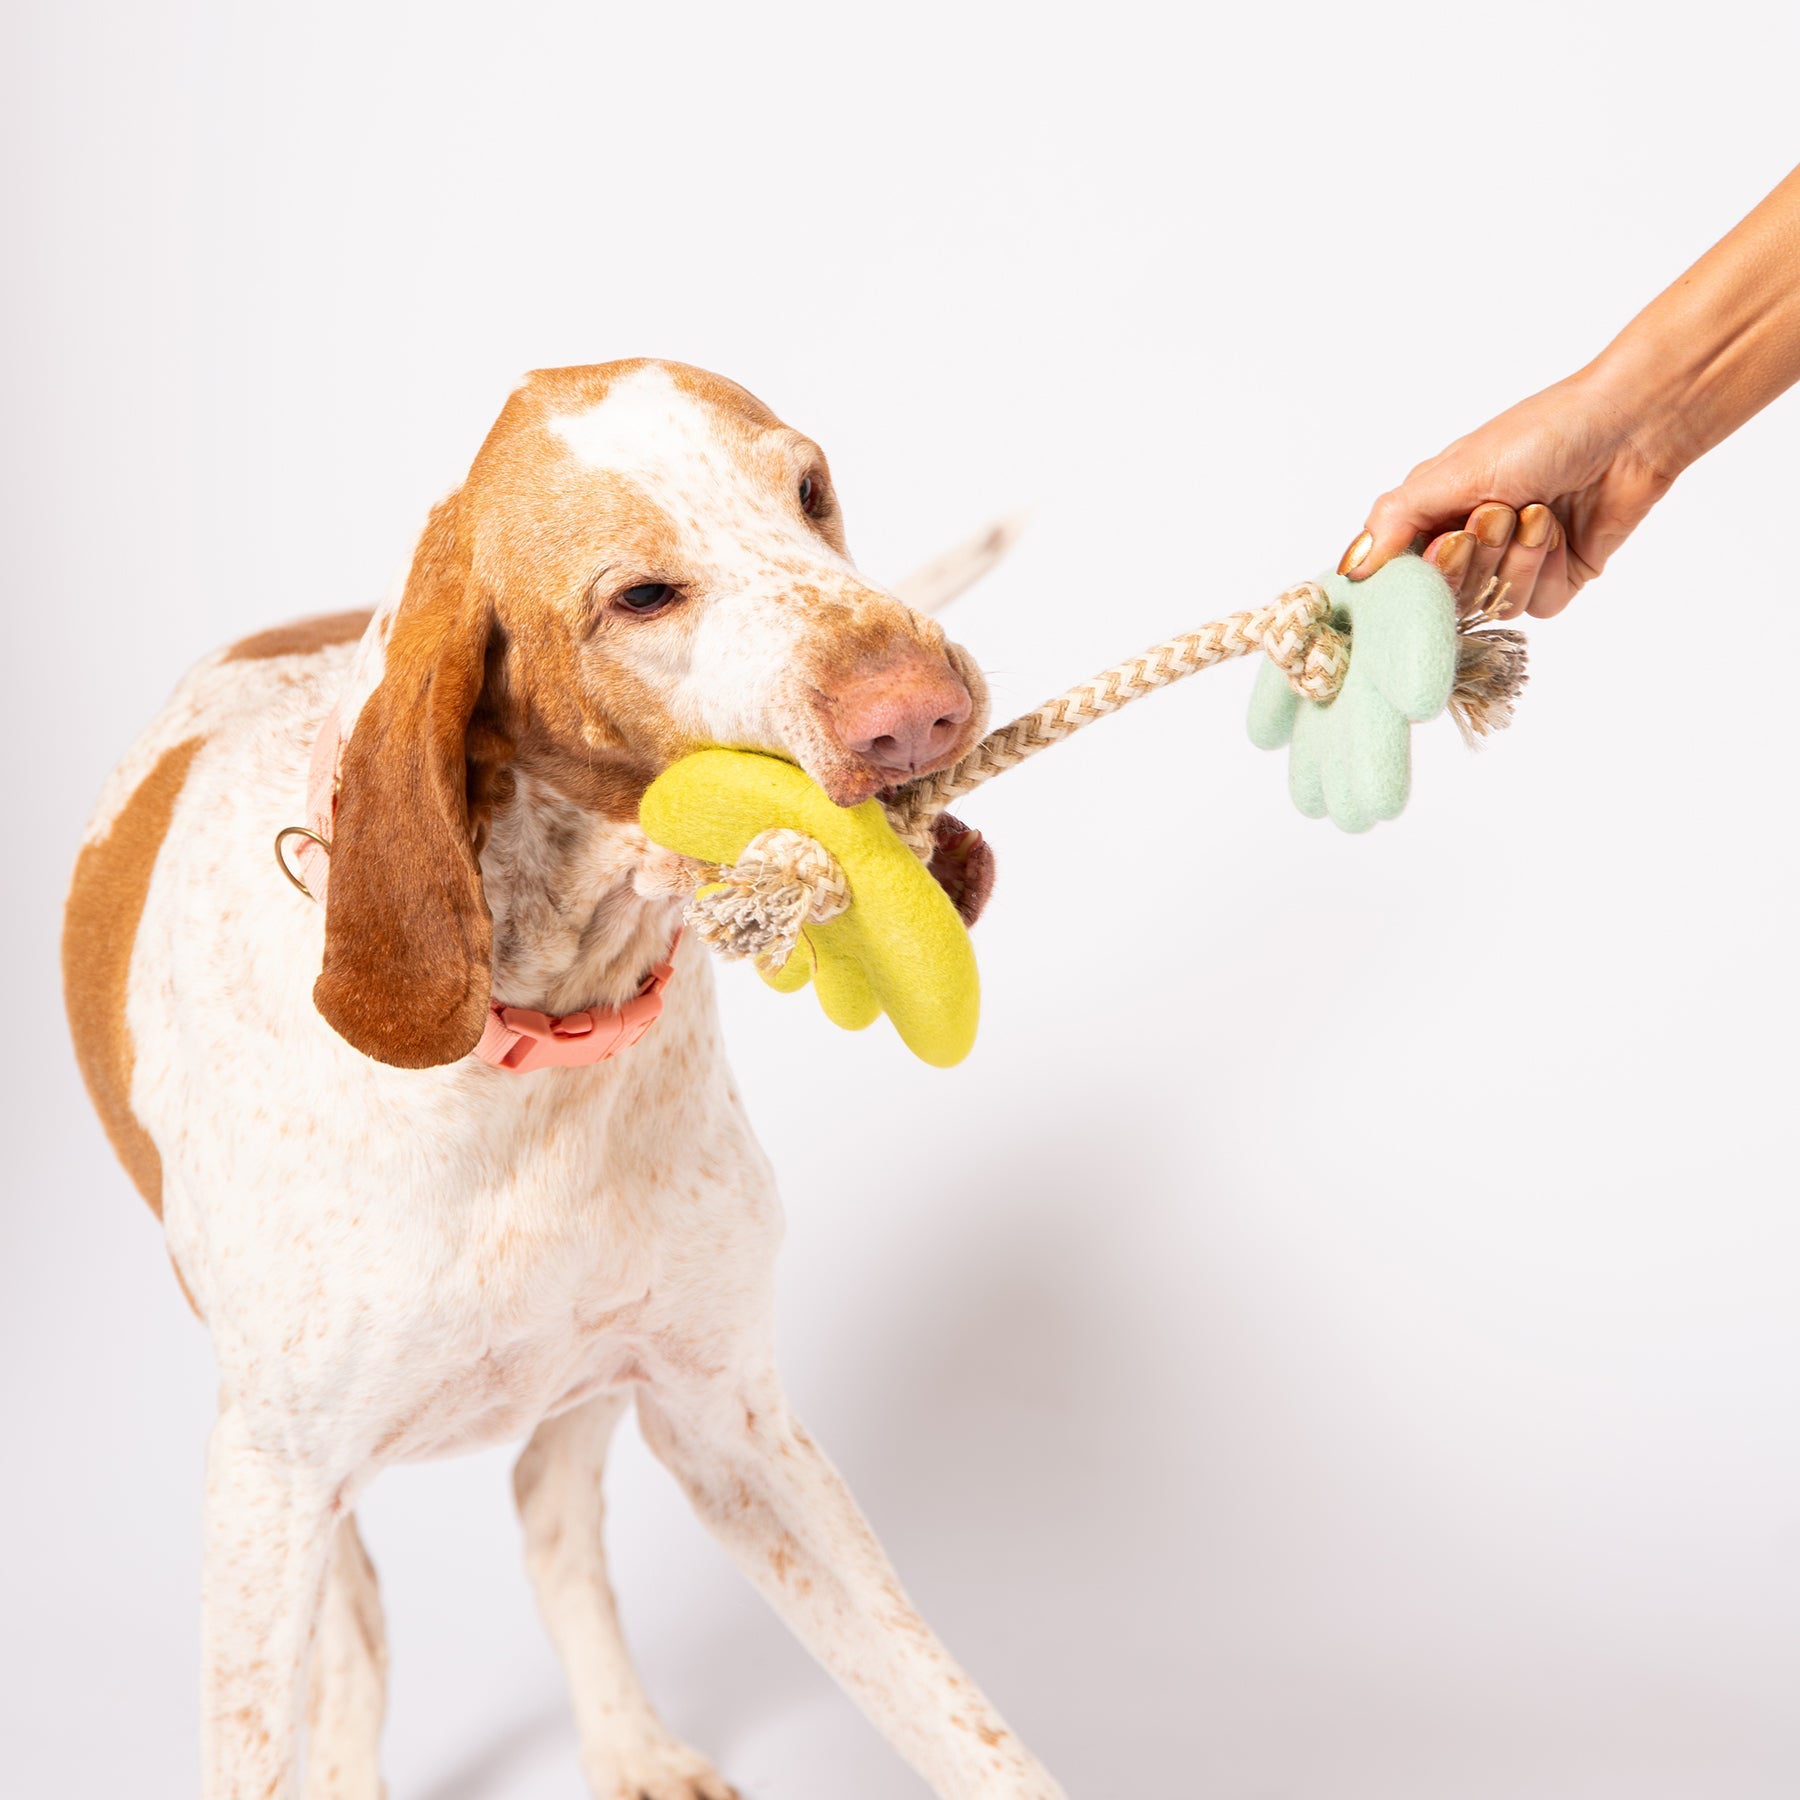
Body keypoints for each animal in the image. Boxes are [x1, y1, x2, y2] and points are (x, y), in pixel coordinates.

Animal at [63, 358, 1058, 1792]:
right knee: (363, 1625)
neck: (538, 1047)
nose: (920, 705)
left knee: (548, 1521)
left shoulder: (728, 1416)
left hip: (596, 1374)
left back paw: (629, 1743)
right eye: (639, 596)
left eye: (809, 488)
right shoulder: (269, 1481)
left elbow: (957, 1720)